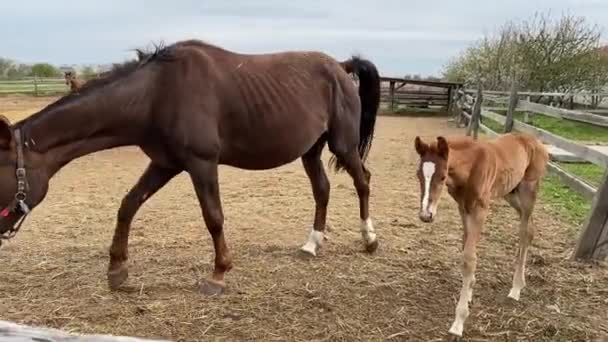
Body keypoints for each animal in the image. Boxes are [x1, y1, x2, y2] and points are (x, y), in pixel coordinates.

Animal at [0, 40, 380, 296]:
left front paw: (218, 274)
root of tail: (341, 66)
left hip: (343, 145)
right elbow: (128, 206)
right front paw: (117, 271)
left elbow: (213, 217)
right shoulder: (164, 163)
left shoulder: (201, 163)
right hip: (310, 152)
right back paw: (312, 244)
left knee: (362, 181)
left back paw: (369, 239)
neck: (158, 93)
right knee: (322, 190)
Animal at [414, 133, 552, 336]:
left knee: (525, 232)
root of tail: (535, 140)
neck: (471, 166)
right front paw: (470, 290)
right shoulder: (463, 207)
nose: (426, 215)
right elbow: (465, 246)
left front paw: (459, 322)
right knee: (530, 228)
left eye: (442, 176)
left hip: (529, 190)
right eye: (418, 175)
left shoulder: (481, 209)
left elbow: (469, 259)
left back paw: (516, 288)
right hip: (511, 192)